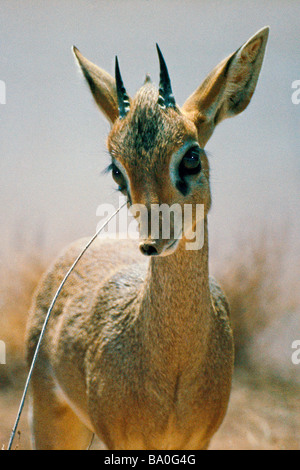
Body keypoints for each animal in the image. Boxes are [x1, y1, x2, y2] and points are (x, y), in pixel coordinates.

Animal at [26, 26, 270, 452]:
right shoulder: (123, 441)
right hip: (54, 419)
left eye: (191, 156)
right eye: (117, 170)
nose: (153, 242)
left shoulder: (199, 440)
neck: (174, 369)